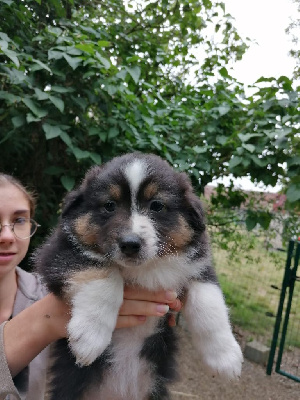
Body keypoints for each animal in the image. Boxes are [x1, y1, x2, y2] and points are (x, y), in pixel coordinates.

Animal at [35, 152, 243, 400]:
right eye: (109, 205)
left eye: (157, 206)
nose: (130, 244)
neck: (146, 267)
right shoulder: (57, 252)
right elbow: (105, 276)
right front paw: (90, 337)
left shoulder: (198, 266)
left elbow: (210, 305)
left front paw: (226, 358)